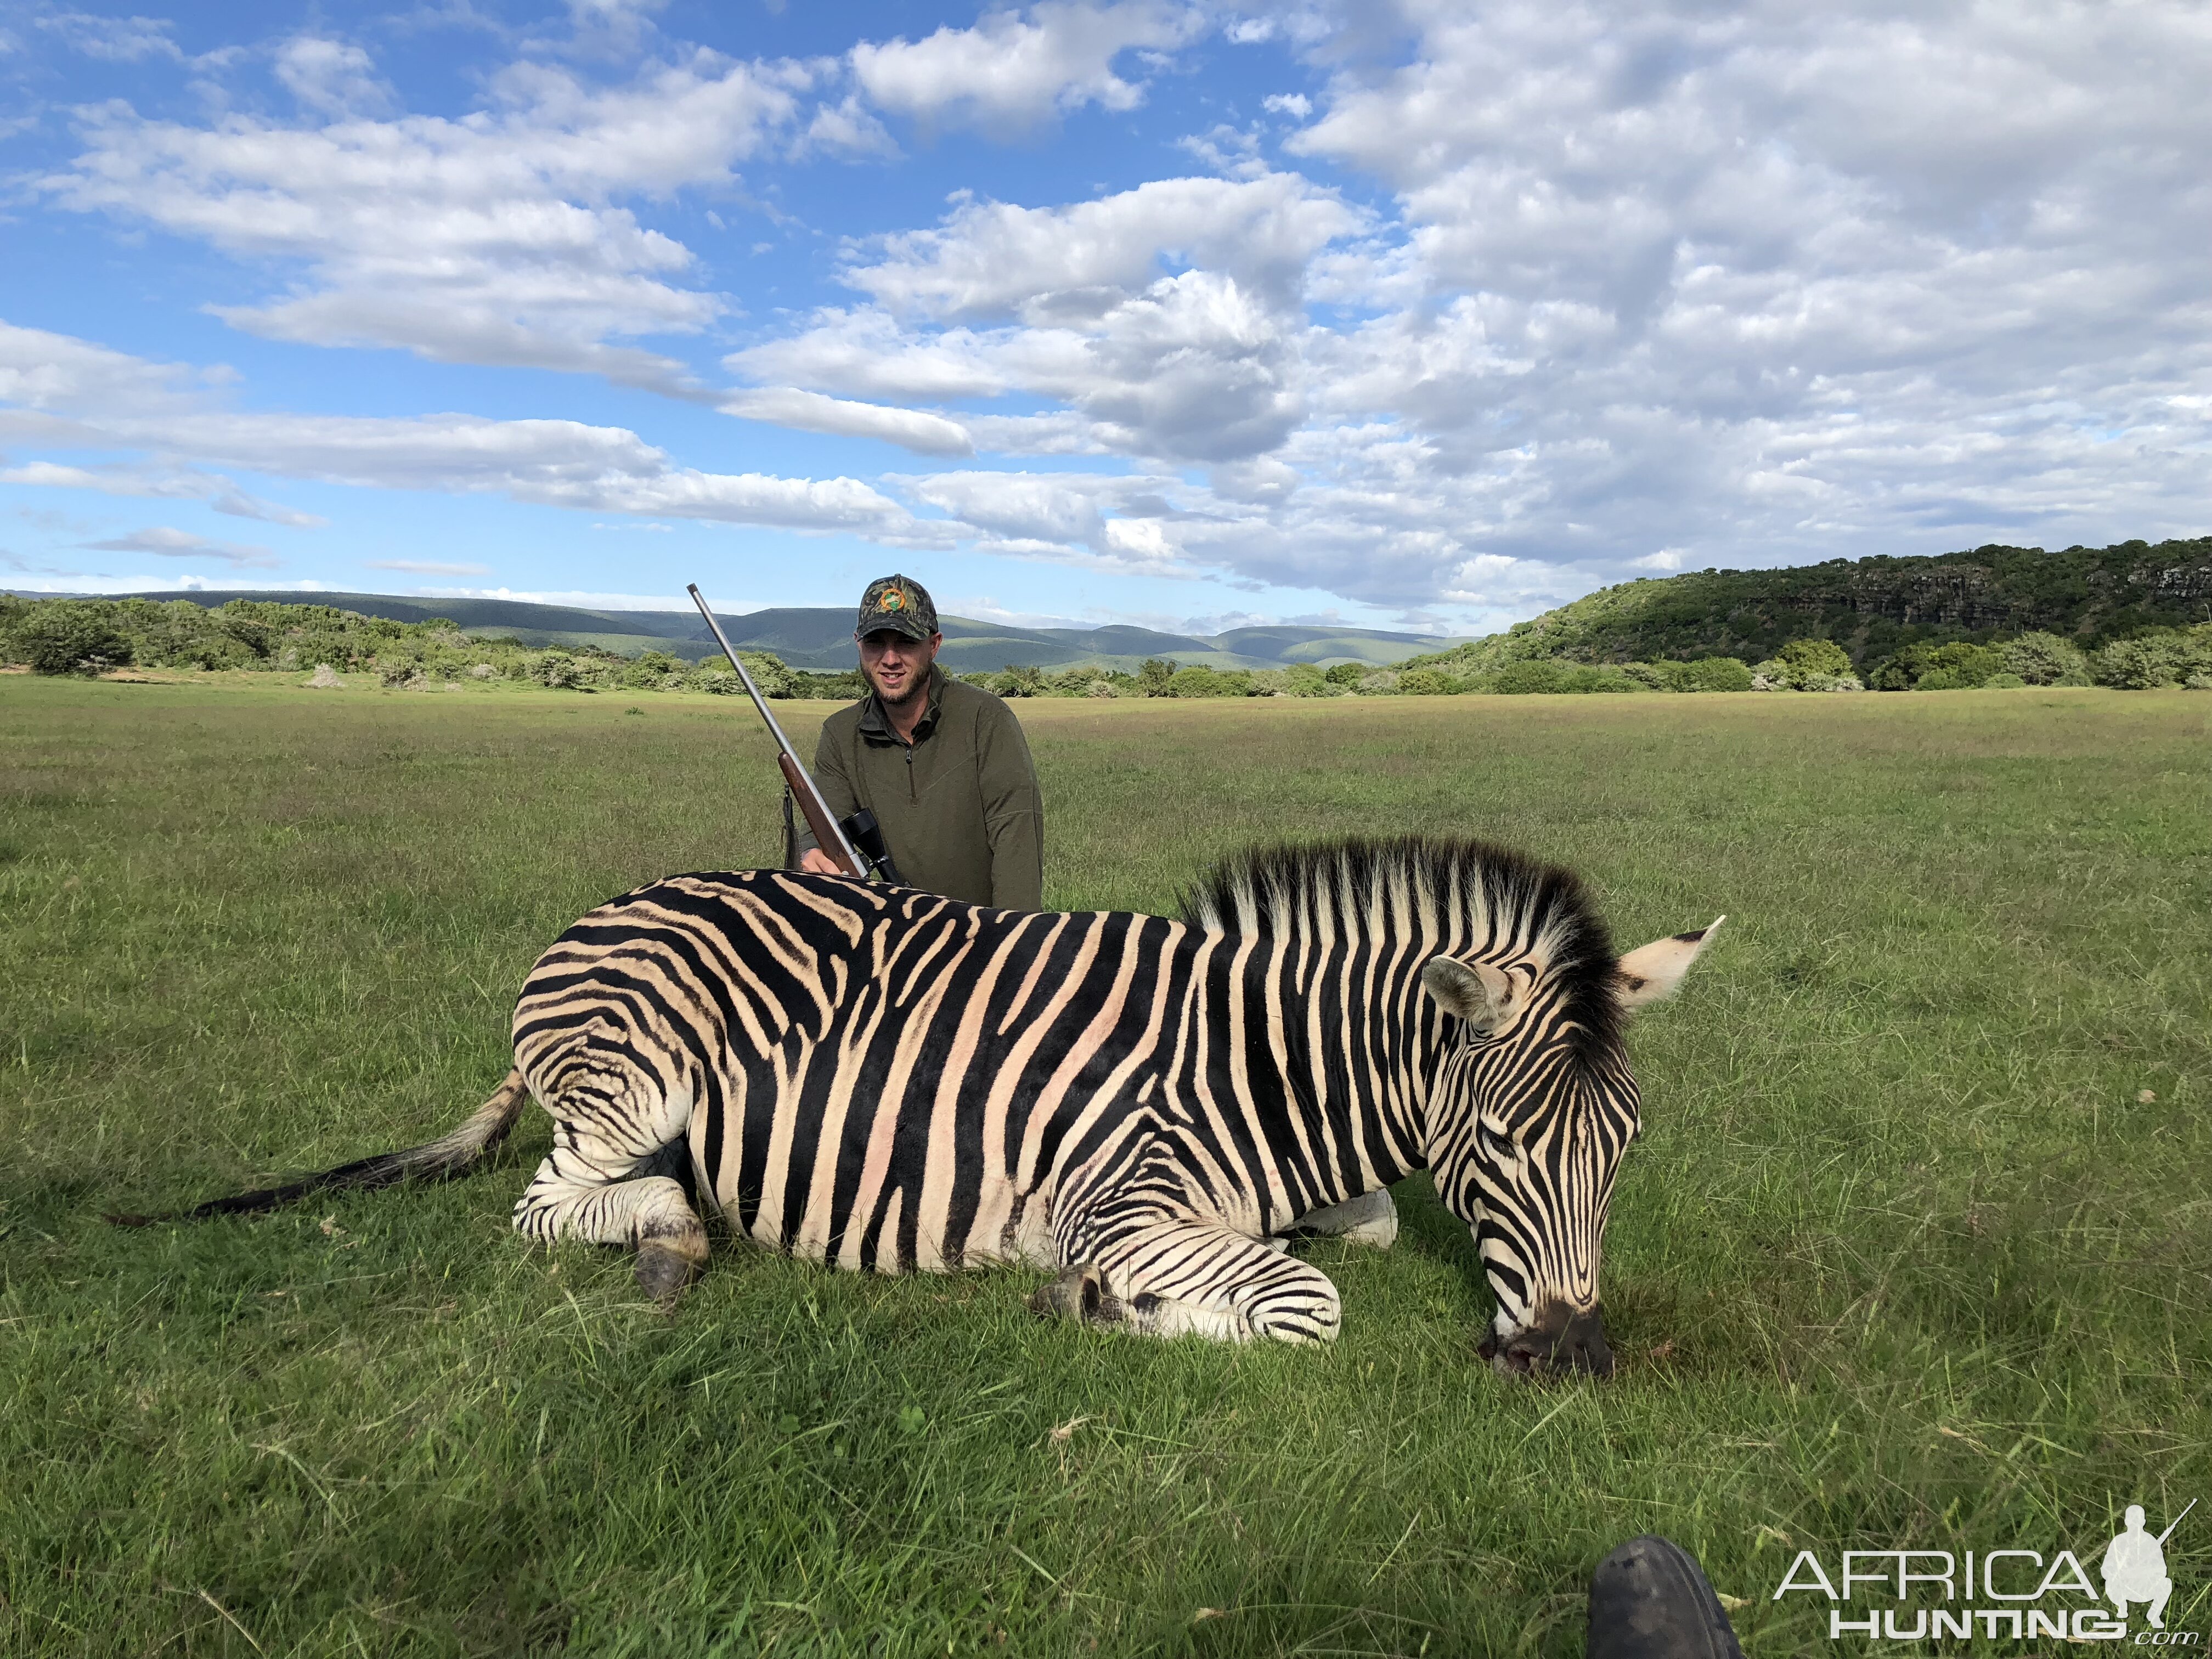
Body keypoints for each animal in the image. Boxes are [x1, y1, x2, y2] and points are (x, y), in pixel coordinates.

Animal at [147, 845, 1716, 1380]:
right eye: (1505, 1148)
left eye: (1627, 1153)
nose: (1576, 1361)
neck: (1268, 1070)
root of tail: (606, 905)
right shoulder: (1123, 1201)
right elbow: (1307, 1302)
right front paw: (1095, 1305)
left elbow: (1374, 1229)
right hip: (634, 1080)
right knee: (554, 1205)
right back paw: (673, 1236)